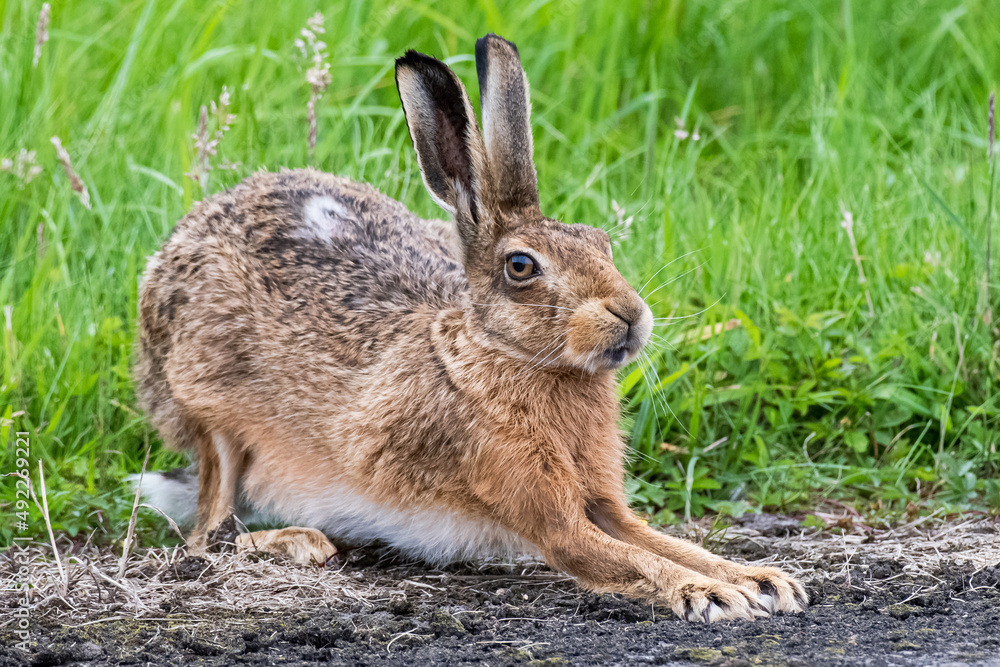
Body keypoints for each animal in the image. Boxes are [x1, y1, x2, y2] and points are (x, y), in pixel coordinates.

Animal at [134, 33, 807, 622]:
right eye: (521, 266)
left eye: (602, 242)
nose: (630, 316)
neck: (508, 359)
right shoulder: (551, 517)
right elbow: (629, 560)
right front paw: (711, 595)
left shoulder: (602, 501)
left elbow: (665, 542)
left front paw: (760, 580)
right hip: (212, 411)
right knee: (208, 533)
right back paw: (303, 541)